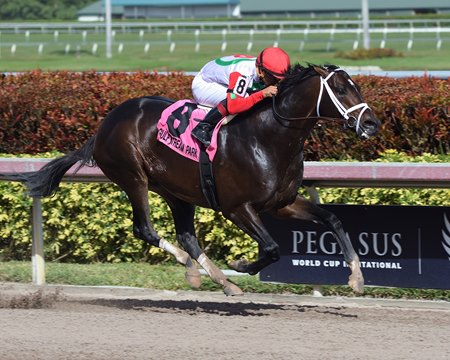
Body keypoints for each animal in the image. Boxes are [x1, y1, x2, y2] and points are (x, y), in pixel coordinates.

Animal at [14, 64, 380, 296]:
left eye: (357, 86)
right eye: (340, 88)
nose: (372, 123)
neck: (269, 137)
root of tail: (104, 125)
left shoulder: (282, 203)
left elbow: (332, 219)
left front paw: (357, 278)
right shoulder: (237, 207)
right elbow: (272, 248)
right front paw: (241, 262)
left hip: (177, 191)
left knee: (188, 236)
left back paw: (218, 280)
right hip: (133, 177)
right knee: (145, 229)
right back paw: (190, 265)